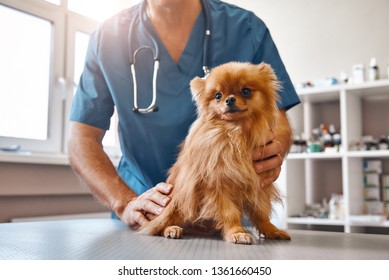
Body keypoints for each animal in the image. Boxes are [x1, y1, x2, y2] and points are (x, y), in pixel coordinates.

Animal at [138, 62, 290, 244]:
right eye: (218, 96)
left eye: (246, 91)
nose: (229, 99)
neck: (236, 133)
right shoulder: (217, 186)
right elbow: (229, 213)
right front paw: (237, 232)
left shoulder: (259, 185)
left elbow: (261, 213)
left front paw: (271, 230)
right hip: (176, 201)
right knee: (161, 224)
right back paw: (172, 229)